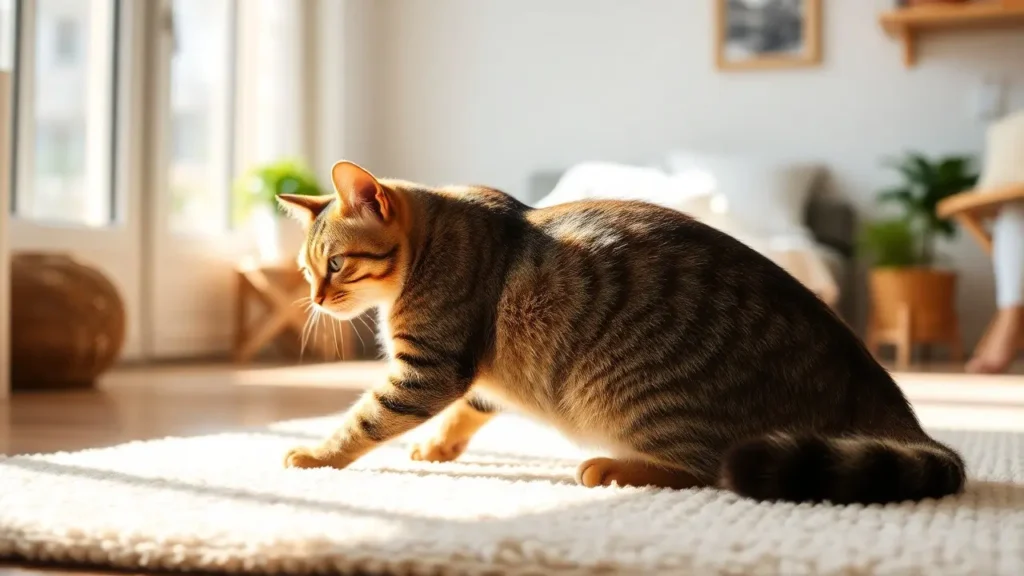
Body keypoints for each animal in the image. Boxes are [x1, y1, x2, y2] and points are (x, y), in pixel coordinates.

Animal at [276, 159, 962, 502]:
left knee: (711, 468)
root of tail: (875, 387)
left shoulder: (429, 366)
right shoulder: (476, 375)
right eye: (306, 270)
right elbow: (471, 408)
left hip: (643, 400)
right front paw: (438, 446)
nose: (316, 298)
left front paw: (315, 454)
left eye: (334, 264)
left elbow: (364, 419)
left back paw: (610, 467)